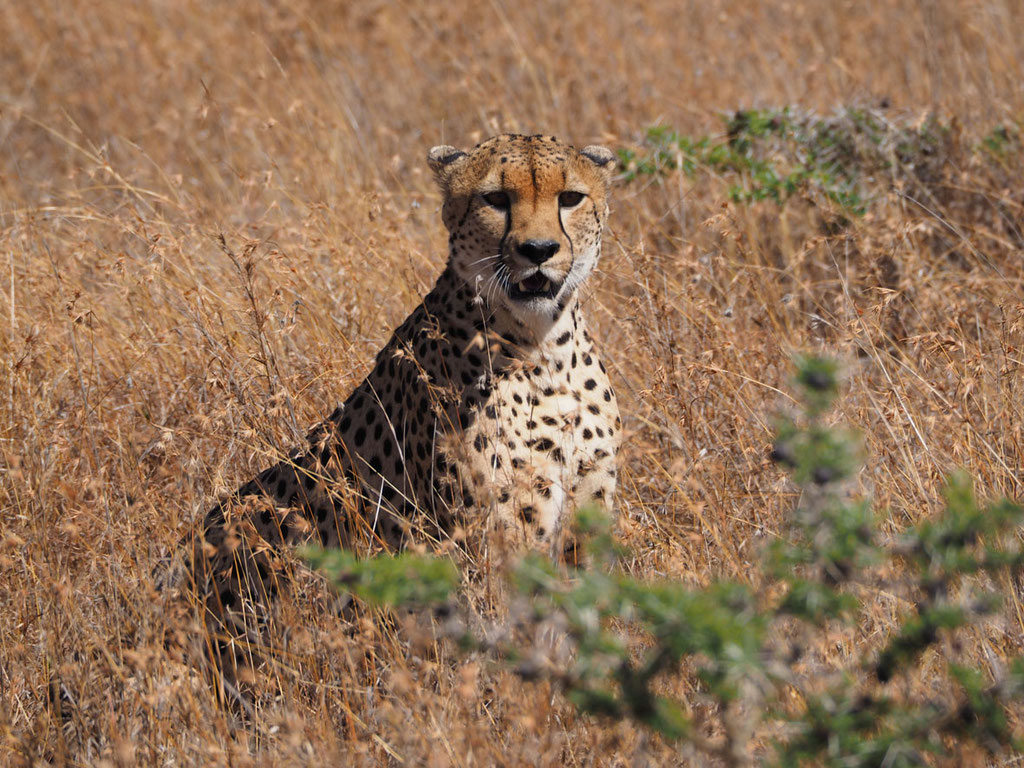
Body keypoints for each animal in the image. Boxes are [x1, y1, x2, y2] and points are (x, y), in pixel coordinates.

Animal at [195, 134, 618, 618]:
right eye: (495, 199)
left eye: (570, 198)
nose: (539, 250)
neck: (545, 346)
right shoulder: (495, 539)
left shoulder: (585, 517)